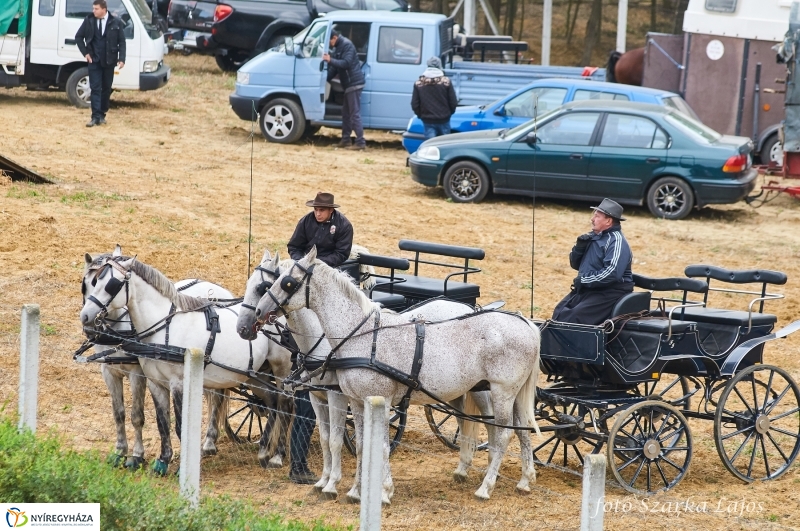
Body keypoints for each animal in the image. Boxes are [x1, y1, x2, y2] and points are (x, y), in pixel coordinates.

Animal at [79, 251, 294, 476]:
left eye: (111, 285)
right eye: (88, 283)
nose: (86, 316)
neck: (164, 326)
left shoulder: (174, 382)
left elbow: (179, 424)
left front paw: (177, 467)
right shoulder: (152, 382)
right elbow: (161, 421)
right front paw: (162, 460)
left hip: (281, 371)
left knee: (285, 405)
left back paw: (277, 455)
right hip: (256, 374)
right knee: (269, 402)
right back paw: (262, 449)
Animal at [256, 249, 544, 502]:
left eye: (288, 282)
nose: (258, 311)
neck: (360, 336)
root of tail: (524, 322)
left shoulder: (375, 400)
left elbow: (379, 446)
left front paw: (383, 492)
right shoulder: (357, 402)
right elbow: (362, 445)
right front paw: (356, 492)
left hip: (501, 391)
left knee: (503, 435)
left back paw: (486, 487)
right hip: (502, 393)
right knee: (519, 430)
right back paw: (524, 480)